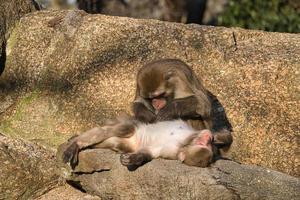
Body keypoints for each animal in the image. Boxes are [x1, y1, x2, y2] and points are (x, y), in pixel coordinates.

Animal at [62, 114, 214, 169]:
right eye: (204, 143)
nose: (209, 137)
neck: (182, 142)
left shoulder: (171, 151)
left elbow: (150, 152)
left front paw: (134, 159)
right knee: (125, 128)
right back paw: (75, 143)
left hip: (127, 143)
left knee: (117, 141)